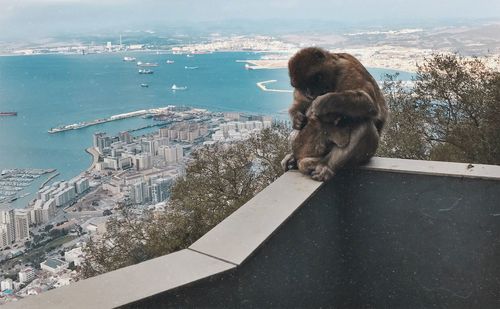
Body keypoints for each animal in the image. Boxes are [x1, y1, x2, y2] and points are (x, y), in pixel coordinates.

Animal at [280, 46, 388, 180]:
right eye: (303, 87)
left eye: (317, 78)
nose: (310, 93)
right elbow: (300, 102)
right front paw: (297, 118)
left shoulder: (346, 69)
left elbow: (369, 102)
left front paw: (322, 102)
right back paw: (294, 158)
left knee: (364, 125)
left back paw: (325, 165)